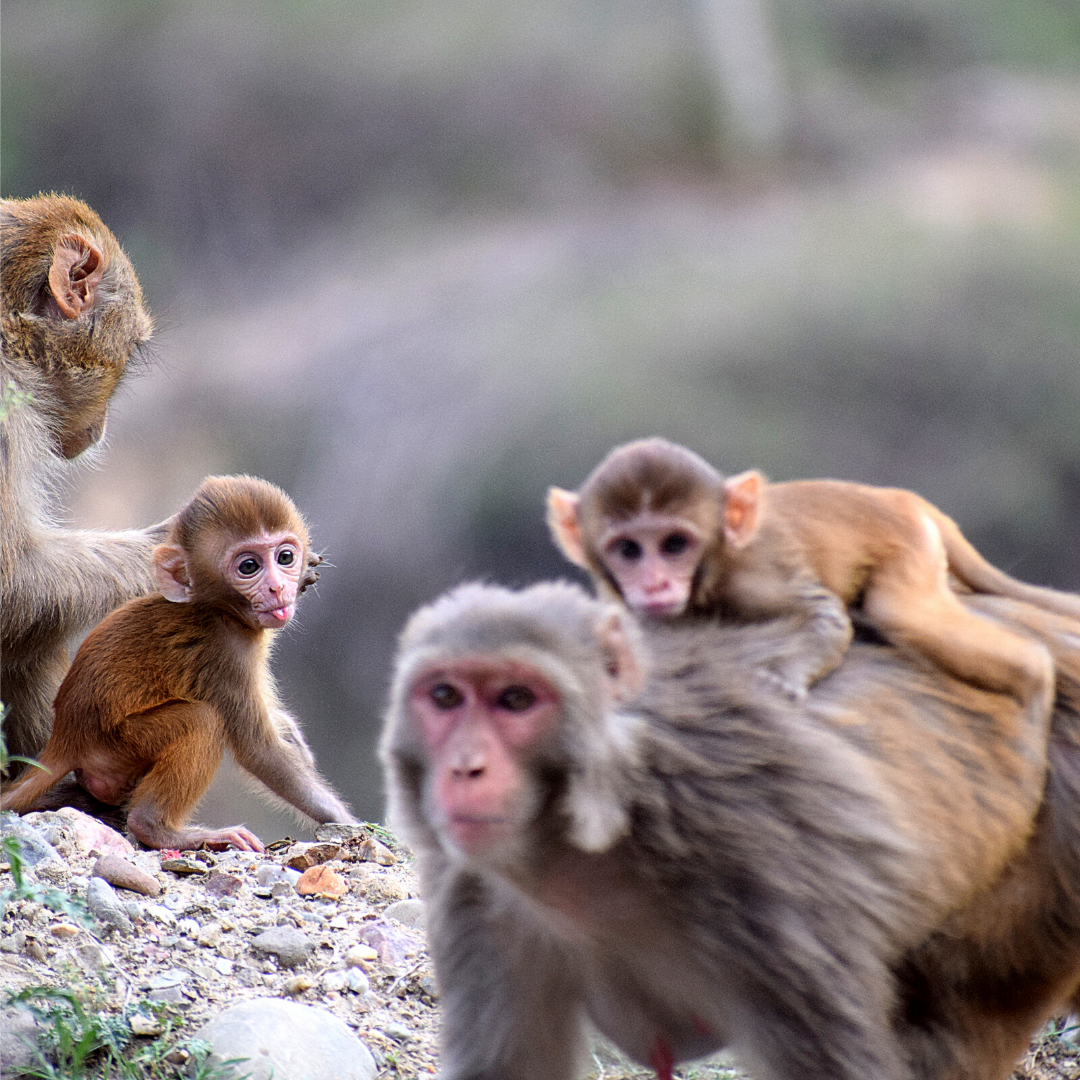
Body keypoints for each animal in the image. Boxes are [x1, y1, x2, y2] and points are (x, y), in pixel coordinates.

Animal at [552, 434, 1075, 712]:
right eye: (628, 550)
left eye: (674, 545)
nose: (655, 583)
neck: (715, 563)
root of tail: (902, 498)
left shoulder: (758, 572)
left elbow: (825, 616)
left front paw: (788, 675)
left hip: (908, 545)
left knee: (901, 614)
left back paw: (1035, 679)